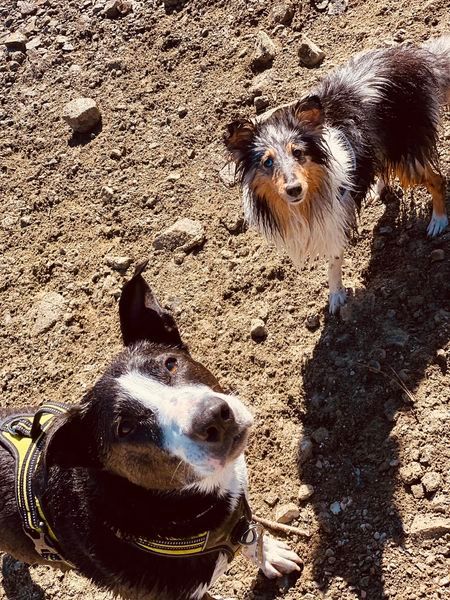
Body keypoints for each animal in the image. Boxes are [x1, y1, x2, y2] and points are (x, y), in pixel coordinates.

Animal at [225, 36, 450, 314]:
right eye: (268, 162)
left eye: (298, 152)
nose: (294, 189)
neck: (307, 201)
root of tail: (419, 58)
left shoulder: (333, 222)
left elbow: (333, 261)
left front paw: (336, 296)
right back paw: (378, 188)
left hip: (407, 150)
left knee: (437, 179)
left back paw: (438, 221)